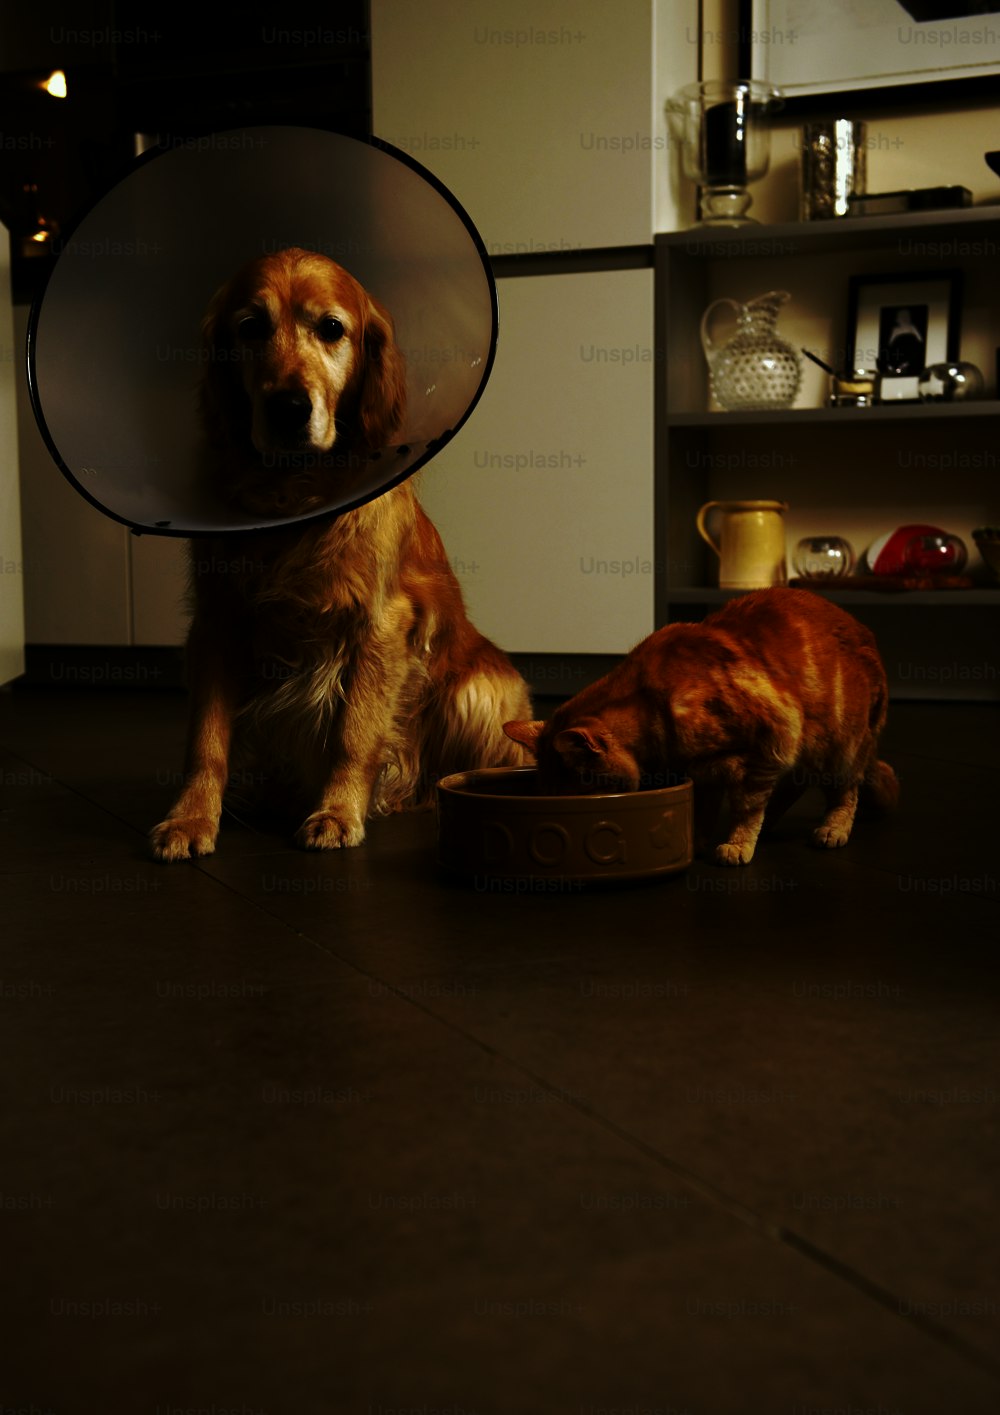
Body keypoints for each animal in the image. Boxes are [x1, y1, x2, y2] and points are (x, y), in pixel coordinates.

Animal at [150, 246, 531, 860]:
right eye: (250, 327)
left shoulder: (380, 623)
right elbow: (206, 739)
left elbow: (355, 732)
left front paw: (337, 811)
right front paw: (190, 819)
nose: (287, 408)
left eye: (331, 329)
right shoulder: (217, 619)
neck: (292, 503)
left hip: (480, 692)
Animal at [503, 582, 905, 860]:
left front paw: (736, 844)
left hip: (840, 746)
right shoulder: (707, 770)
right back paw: (773, 824)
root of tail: (864, 631)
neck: (651, 708)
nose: (561, 810)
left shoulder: (770, 741)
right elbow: (705, 808)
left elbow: (746, 807)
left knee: (845, 791)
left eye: (573, 793)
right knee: (796, 785)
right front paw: (697, 841)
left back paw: (831, 829)